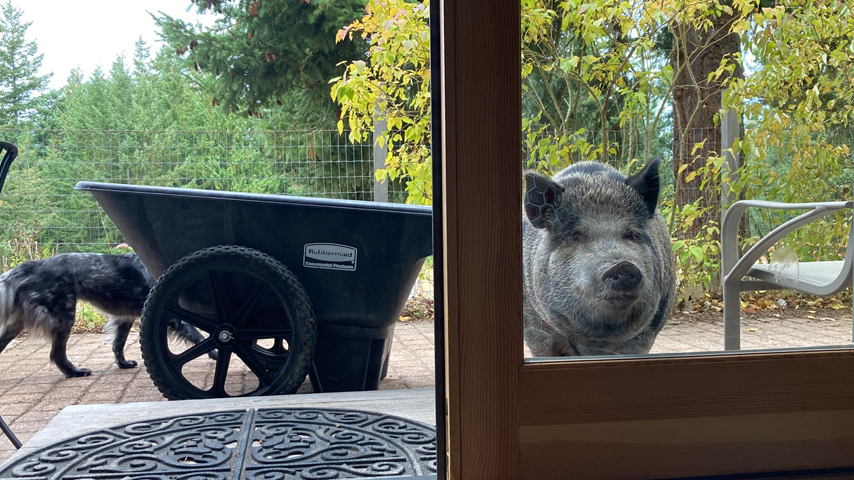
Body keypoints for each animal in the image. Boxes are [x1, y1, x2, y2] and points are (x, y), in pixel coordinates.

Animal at [0, 253, 206, 376]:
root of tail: (35, 265)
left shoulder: (124, 318)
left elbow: (117, 345)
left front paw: (123, 364)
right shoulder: (173, 314)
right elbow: (200, 336)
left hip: (18, 324)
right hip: (64, 317)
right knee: (57, 354)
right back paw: (75, 372)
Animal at [524, 160, 680, 356]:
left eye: (632, 234)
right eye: (574, 235)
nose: (623, 265)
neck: (598, 340)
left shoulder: (646, 332)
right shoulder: (535, 328)